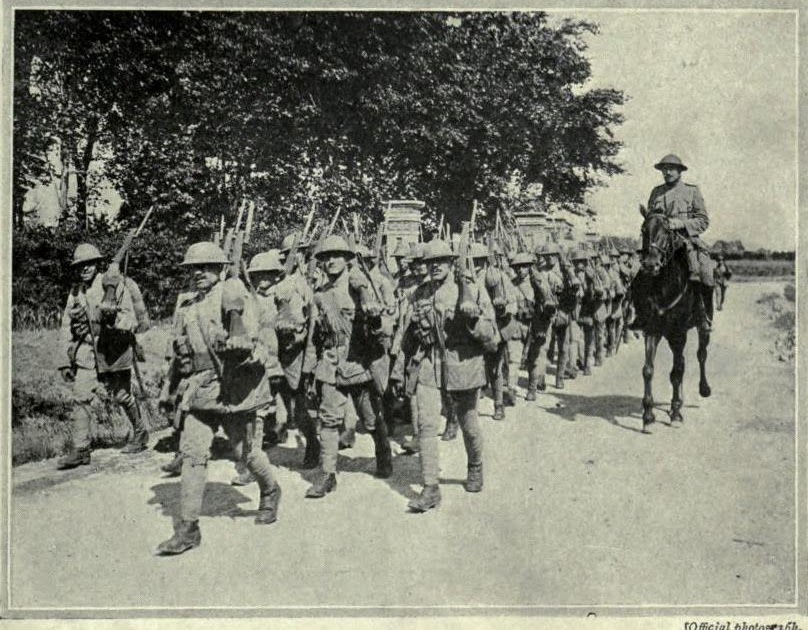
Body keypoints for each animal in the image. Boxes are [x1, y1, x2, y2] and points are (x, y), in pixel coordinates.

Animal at [628, 214, 712, 434]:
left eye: (667, 232)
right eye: (644, 230)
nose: (650, 264)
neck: (663, 286)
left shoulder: (678, 333)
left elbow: (676, 372)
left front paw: (675, 414)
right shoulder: (651, 330)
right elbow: (648, 370)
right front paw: (648, 416)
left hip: (702, 327)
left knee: (700, 355)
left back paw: (703, 389)